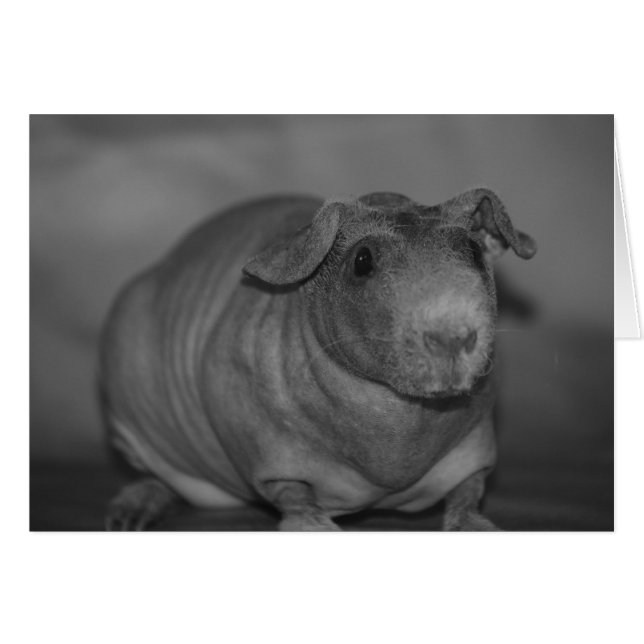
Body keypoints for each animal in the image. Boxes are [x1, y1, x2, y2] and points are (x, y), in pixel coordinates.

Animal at [101, 188, 536, 531]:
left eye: (474, 251)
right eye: (362, 260)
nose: (452, 337)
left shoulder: (475, 445)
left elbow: (469, 489)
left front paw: (476, 526)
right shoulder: (268, 450)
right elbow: (291, 494)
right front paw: (314, 526)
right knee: (156, 478)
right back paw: (131, 511)